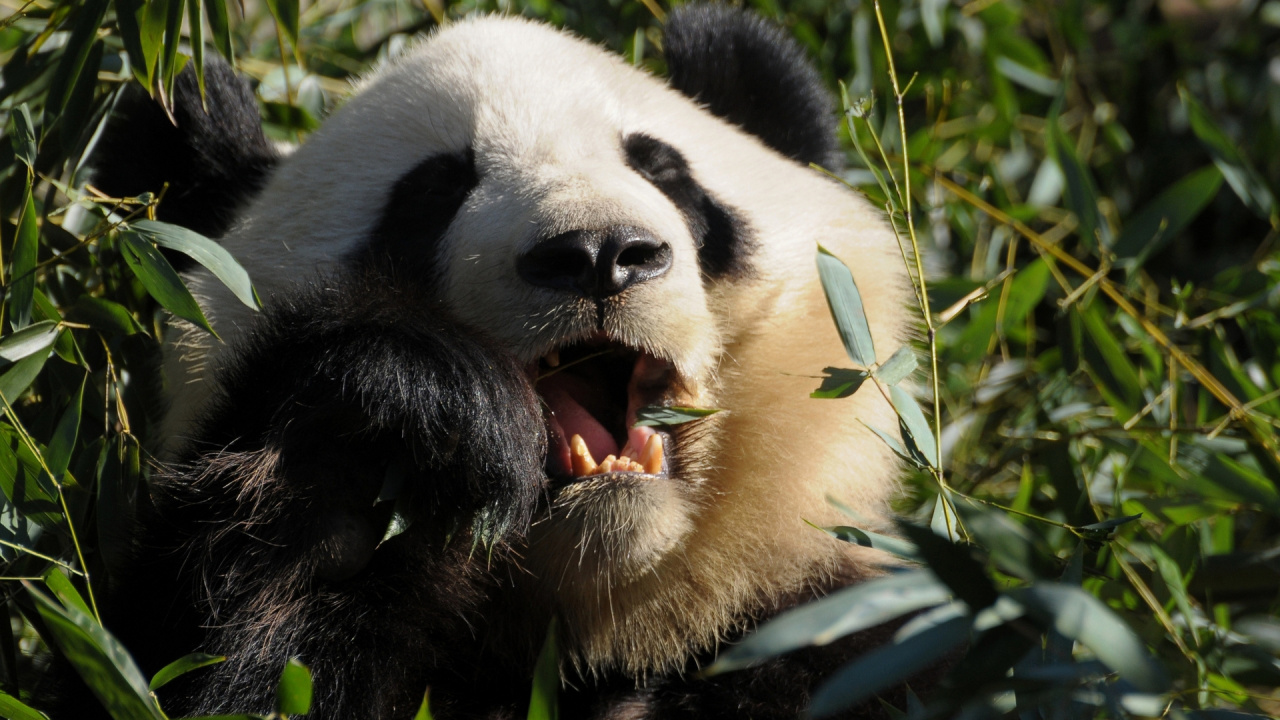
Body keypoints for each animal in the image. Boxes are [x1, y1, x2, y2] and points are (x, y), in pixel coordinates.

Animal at [76, 5, 915, 719]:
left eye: (664, 171)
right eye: (434, 192)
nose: (597, 253)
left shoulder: (836, 621)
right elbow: (222, 657)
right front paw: (415, 421)